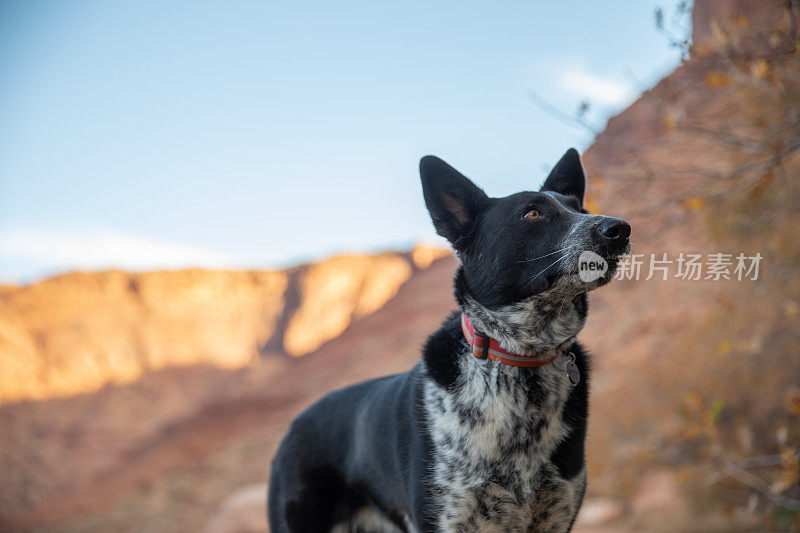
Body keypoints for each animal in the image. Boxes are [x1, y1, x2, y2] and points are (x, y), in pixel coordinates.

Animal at [268, 150, 632, 532]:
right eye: (532, 213)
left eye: (581, 208)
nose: (619, 229)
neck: (519, 358)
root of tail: (293, 425)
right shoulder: (448, 515)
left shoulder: (556, 514)